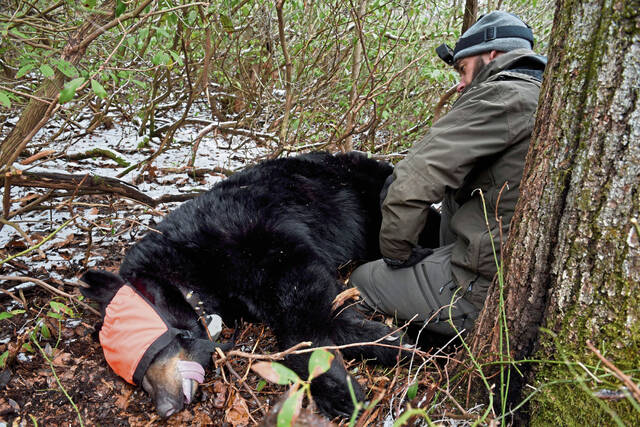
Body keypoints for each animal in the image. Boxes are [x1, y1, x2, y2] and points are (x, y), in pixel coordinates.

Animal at [81, 151, 414, 419]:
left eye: (142, 342)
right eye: (132, 377)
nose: (164, 409)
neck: (195, 266)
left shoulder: (256, 237)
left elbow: (301, 309)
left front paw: (340, 390)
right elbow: (328, 309)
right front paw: (386, 339)